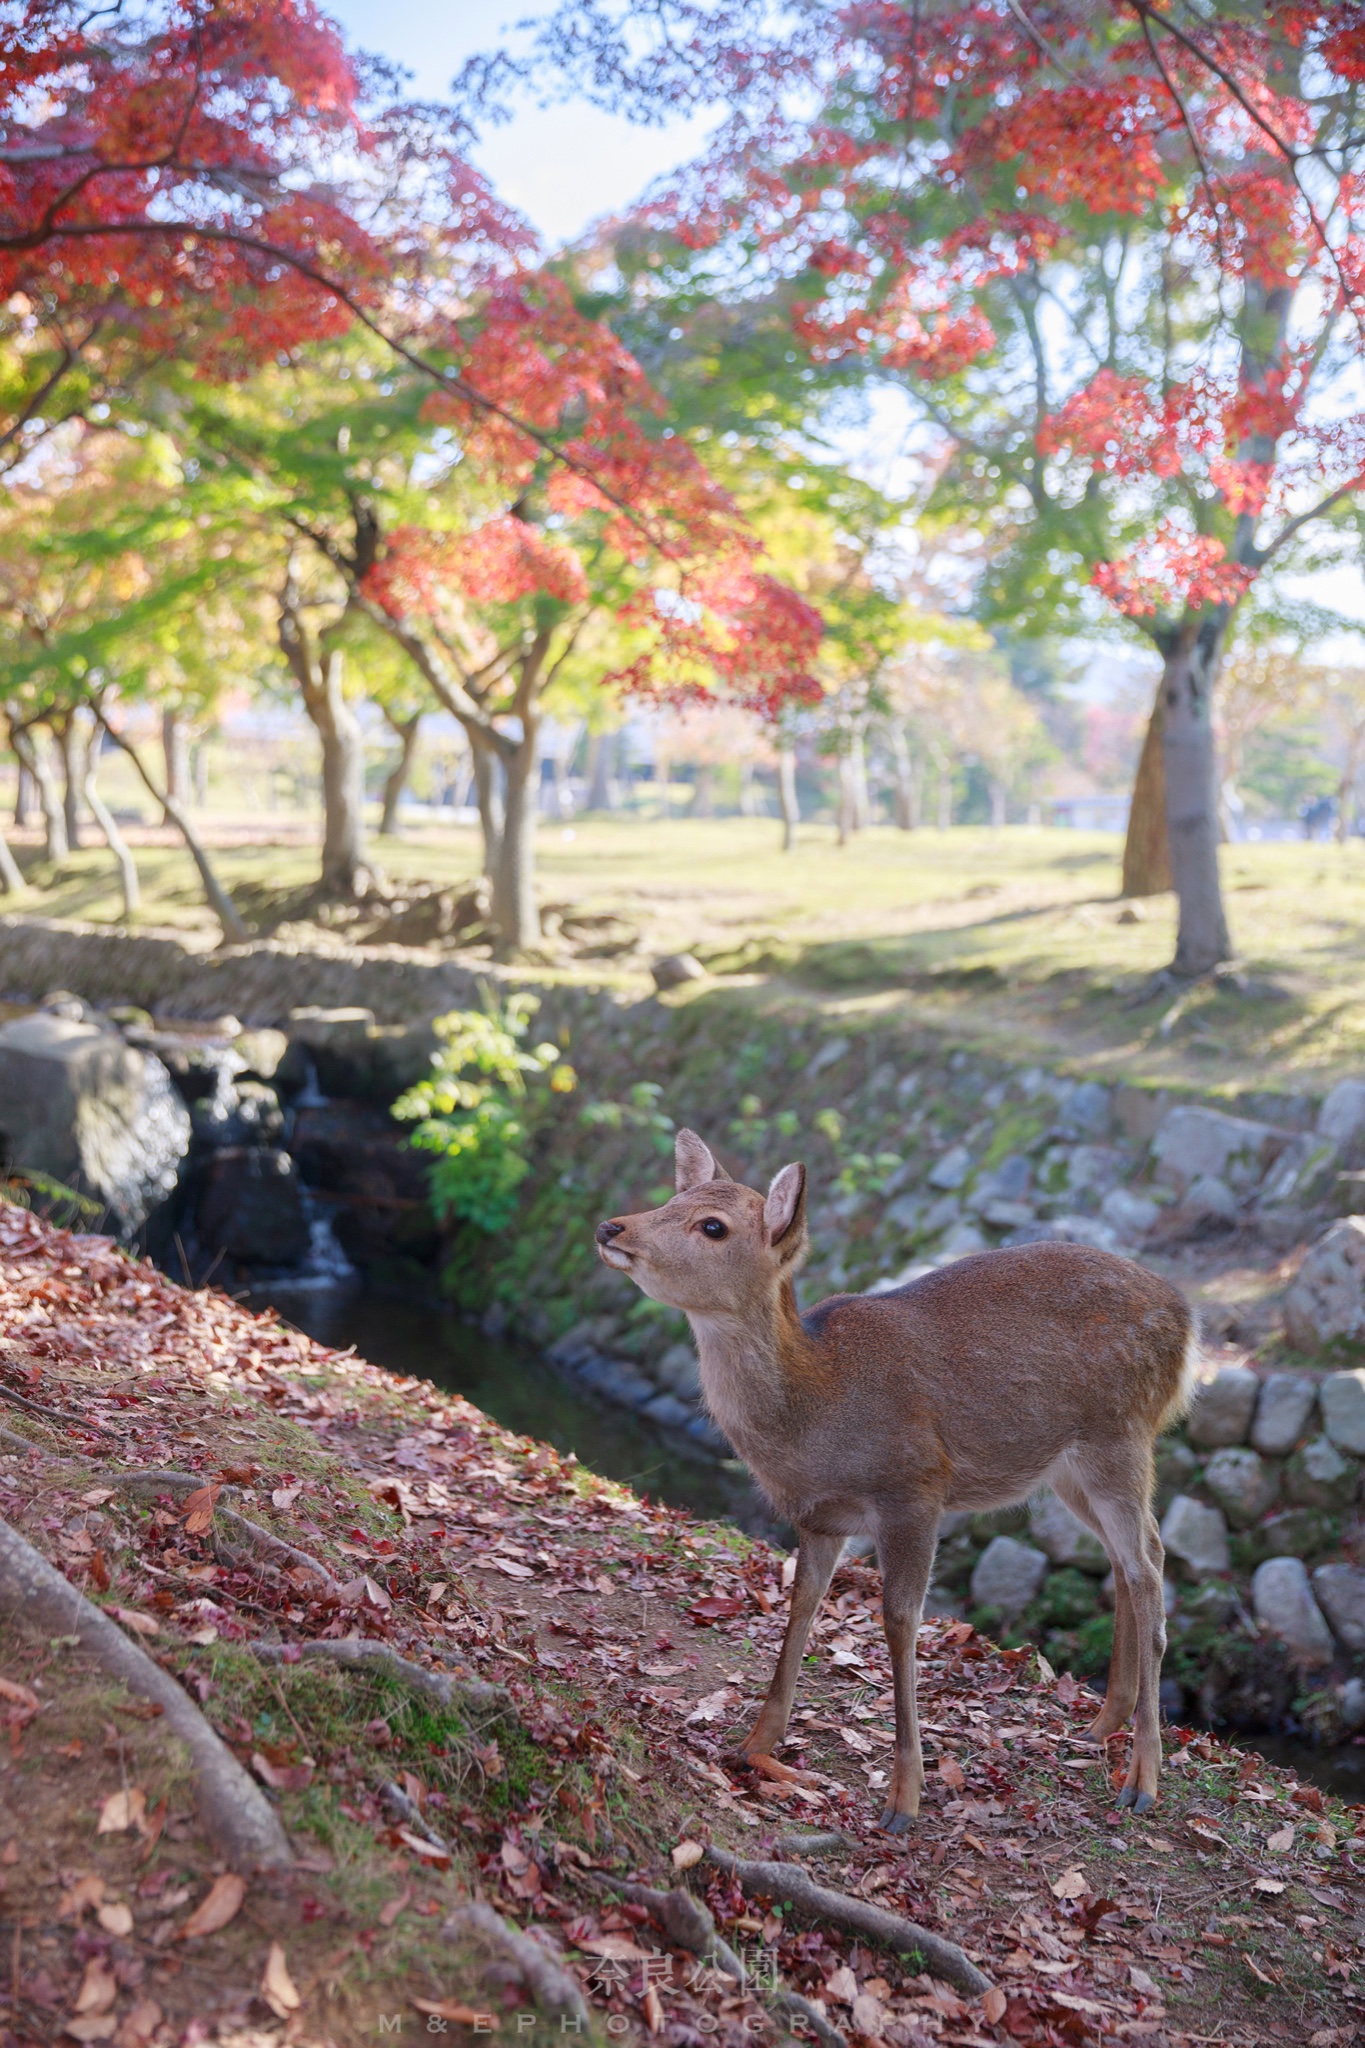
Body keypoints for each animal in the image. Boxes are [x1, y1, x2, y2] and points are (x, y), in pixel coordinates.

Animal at [597, 1130, 1195, 1835]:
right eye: (672, 1198)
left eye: (712, 1225)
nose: (611, 1226)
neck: (816, 1411)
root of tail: (1188, 1323)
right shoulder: (819, 1517)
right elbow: (802, 1606)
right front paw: (754, 1745)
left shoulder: (914, 1490)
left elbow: (900, 1621)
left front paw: (904, 1798)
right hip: (1068, 1468)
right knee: (1132, 1556)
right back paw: (1101, 1725)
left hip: (1119, 1436)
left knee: (1149, 1566)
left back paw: (1142, 1780)